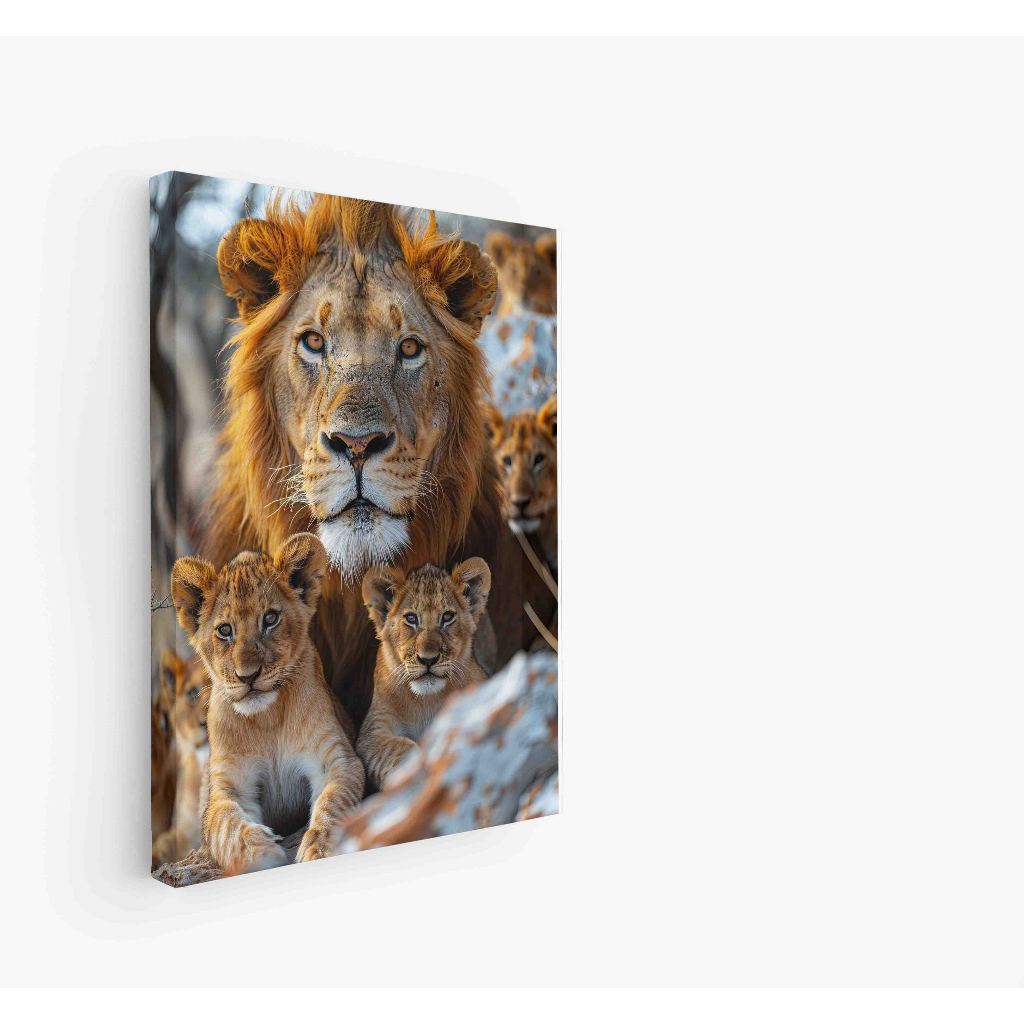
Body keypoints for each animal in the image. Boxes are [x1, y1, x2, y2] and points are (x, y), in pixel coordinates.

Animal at [171, 533, 365, 873]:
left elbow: (333, 803)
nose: (247, 676)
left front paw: (318, 849)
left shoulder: (338, 761)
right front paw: (262, 853)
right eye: (225, 630)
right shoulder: (227, 787)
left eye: (270, 619)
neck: (267, 719)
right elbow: (227, 825)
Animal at [358, 558, 491, 790]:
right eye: (411, 618)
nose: (428, 659)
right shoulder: (371, 733)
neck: (425, 701)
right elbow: (397, 749)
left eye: (447, 617)